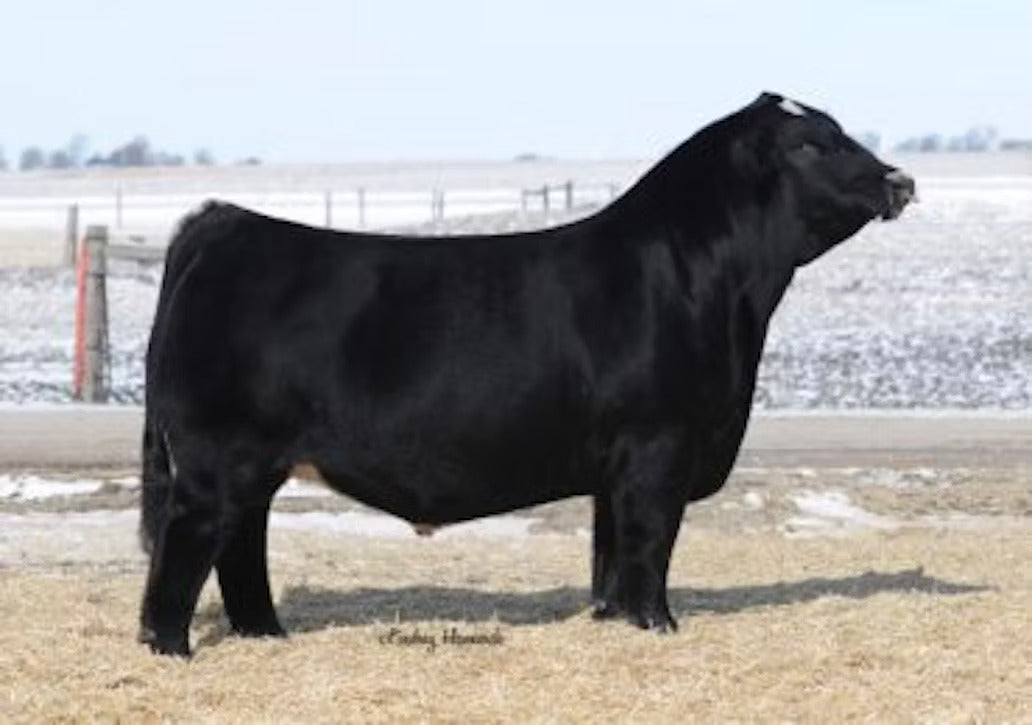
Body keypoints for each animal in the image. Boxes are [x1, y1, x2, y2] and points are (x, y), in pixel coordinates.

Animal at [138, 92, 915, 655]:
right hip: (217, 458)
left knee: (240, 545)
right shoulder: (660, 444)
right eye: (810, 143)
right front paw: (658, 626)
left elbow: (611, 552)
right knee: (188, 546)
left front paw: (611, 620)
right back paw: (172, 647)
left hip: (254, 464)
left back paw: (266, 635)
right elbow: (650, 544)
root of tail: (226, 221)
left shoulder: (617, 464)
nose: (899, 180)